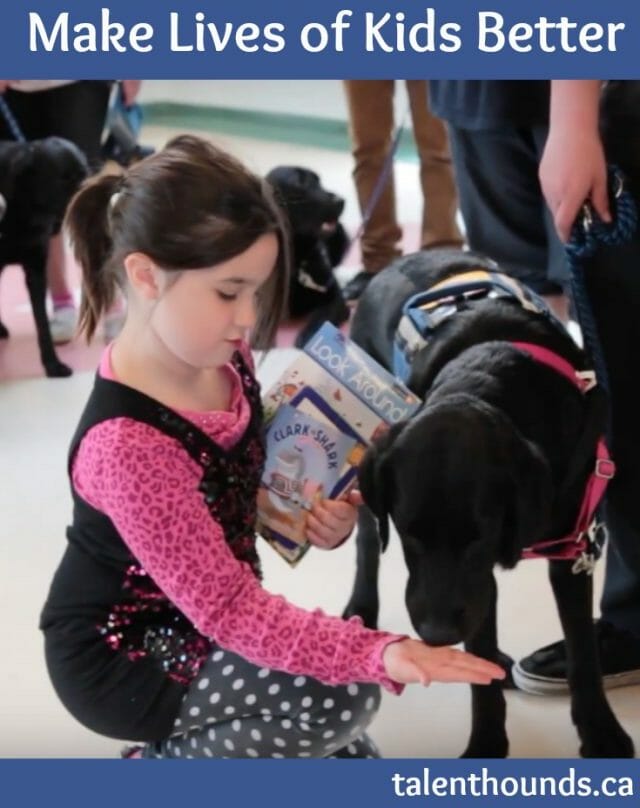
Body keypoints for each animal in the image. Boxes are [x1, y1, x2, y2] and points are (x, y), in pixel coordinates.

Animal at [266, 167, 350, 348]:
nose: (341, 201)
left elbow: (321, 316)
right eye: (301, 182)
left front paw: (310, 335)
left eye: (319, 181)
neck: (297, 260)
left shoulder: (336, 299)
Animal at [342, 249, 632, 760]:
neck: (484, 382)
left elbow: (583, 652)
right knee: (366, 541)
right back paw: (362, 606)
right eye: (409, 533)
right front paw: (486, 744)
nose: (437, 634)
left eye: (478, 537)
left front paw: (601, 734)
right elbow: (480, 665)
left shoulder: (572, 546)